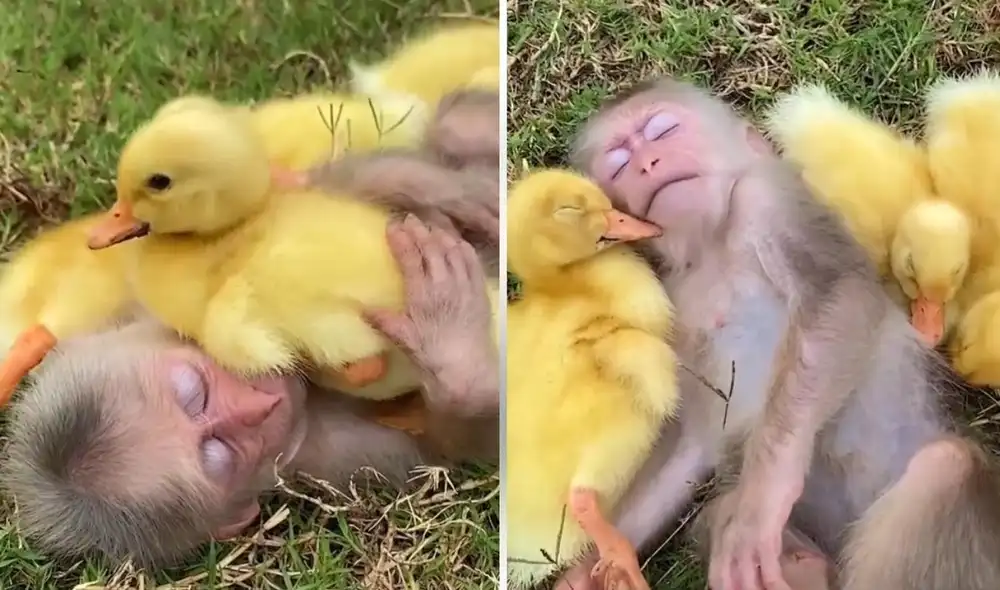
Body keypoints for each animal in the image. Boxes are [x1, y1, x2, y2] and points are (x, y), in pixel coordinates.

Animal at [2, 210, 498, 569]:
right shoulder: (336, 457)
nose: (259, 406)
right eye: (220, 453)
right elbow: (456, 455)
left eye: (194, 393)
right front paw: (449, 339)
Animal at [547, 76, 1000, 590]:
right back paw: (803, 565)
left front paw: (763, 500)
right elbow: (695, 440)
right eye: (619, 161)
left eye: (663, 129)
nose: (647, 163)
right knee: (723, 510)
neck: (712, 245)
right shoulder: (670, 302)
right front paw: (589, 566)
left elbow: (839, 295)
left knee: (946, 470)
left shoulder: (767, 198)